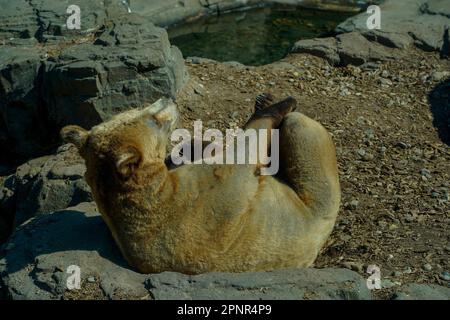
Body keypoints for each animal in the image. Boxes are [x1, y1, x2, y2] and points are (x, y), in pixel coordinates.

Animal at [60, 94, 342, 274]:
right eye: (152, 119)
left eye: (138, 109)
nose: (168, 99)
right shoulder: (210, 196)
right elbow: (246, 149)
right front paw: (275, 105)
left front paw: (196, 145)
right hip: (316, 196)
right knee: (301, 130)